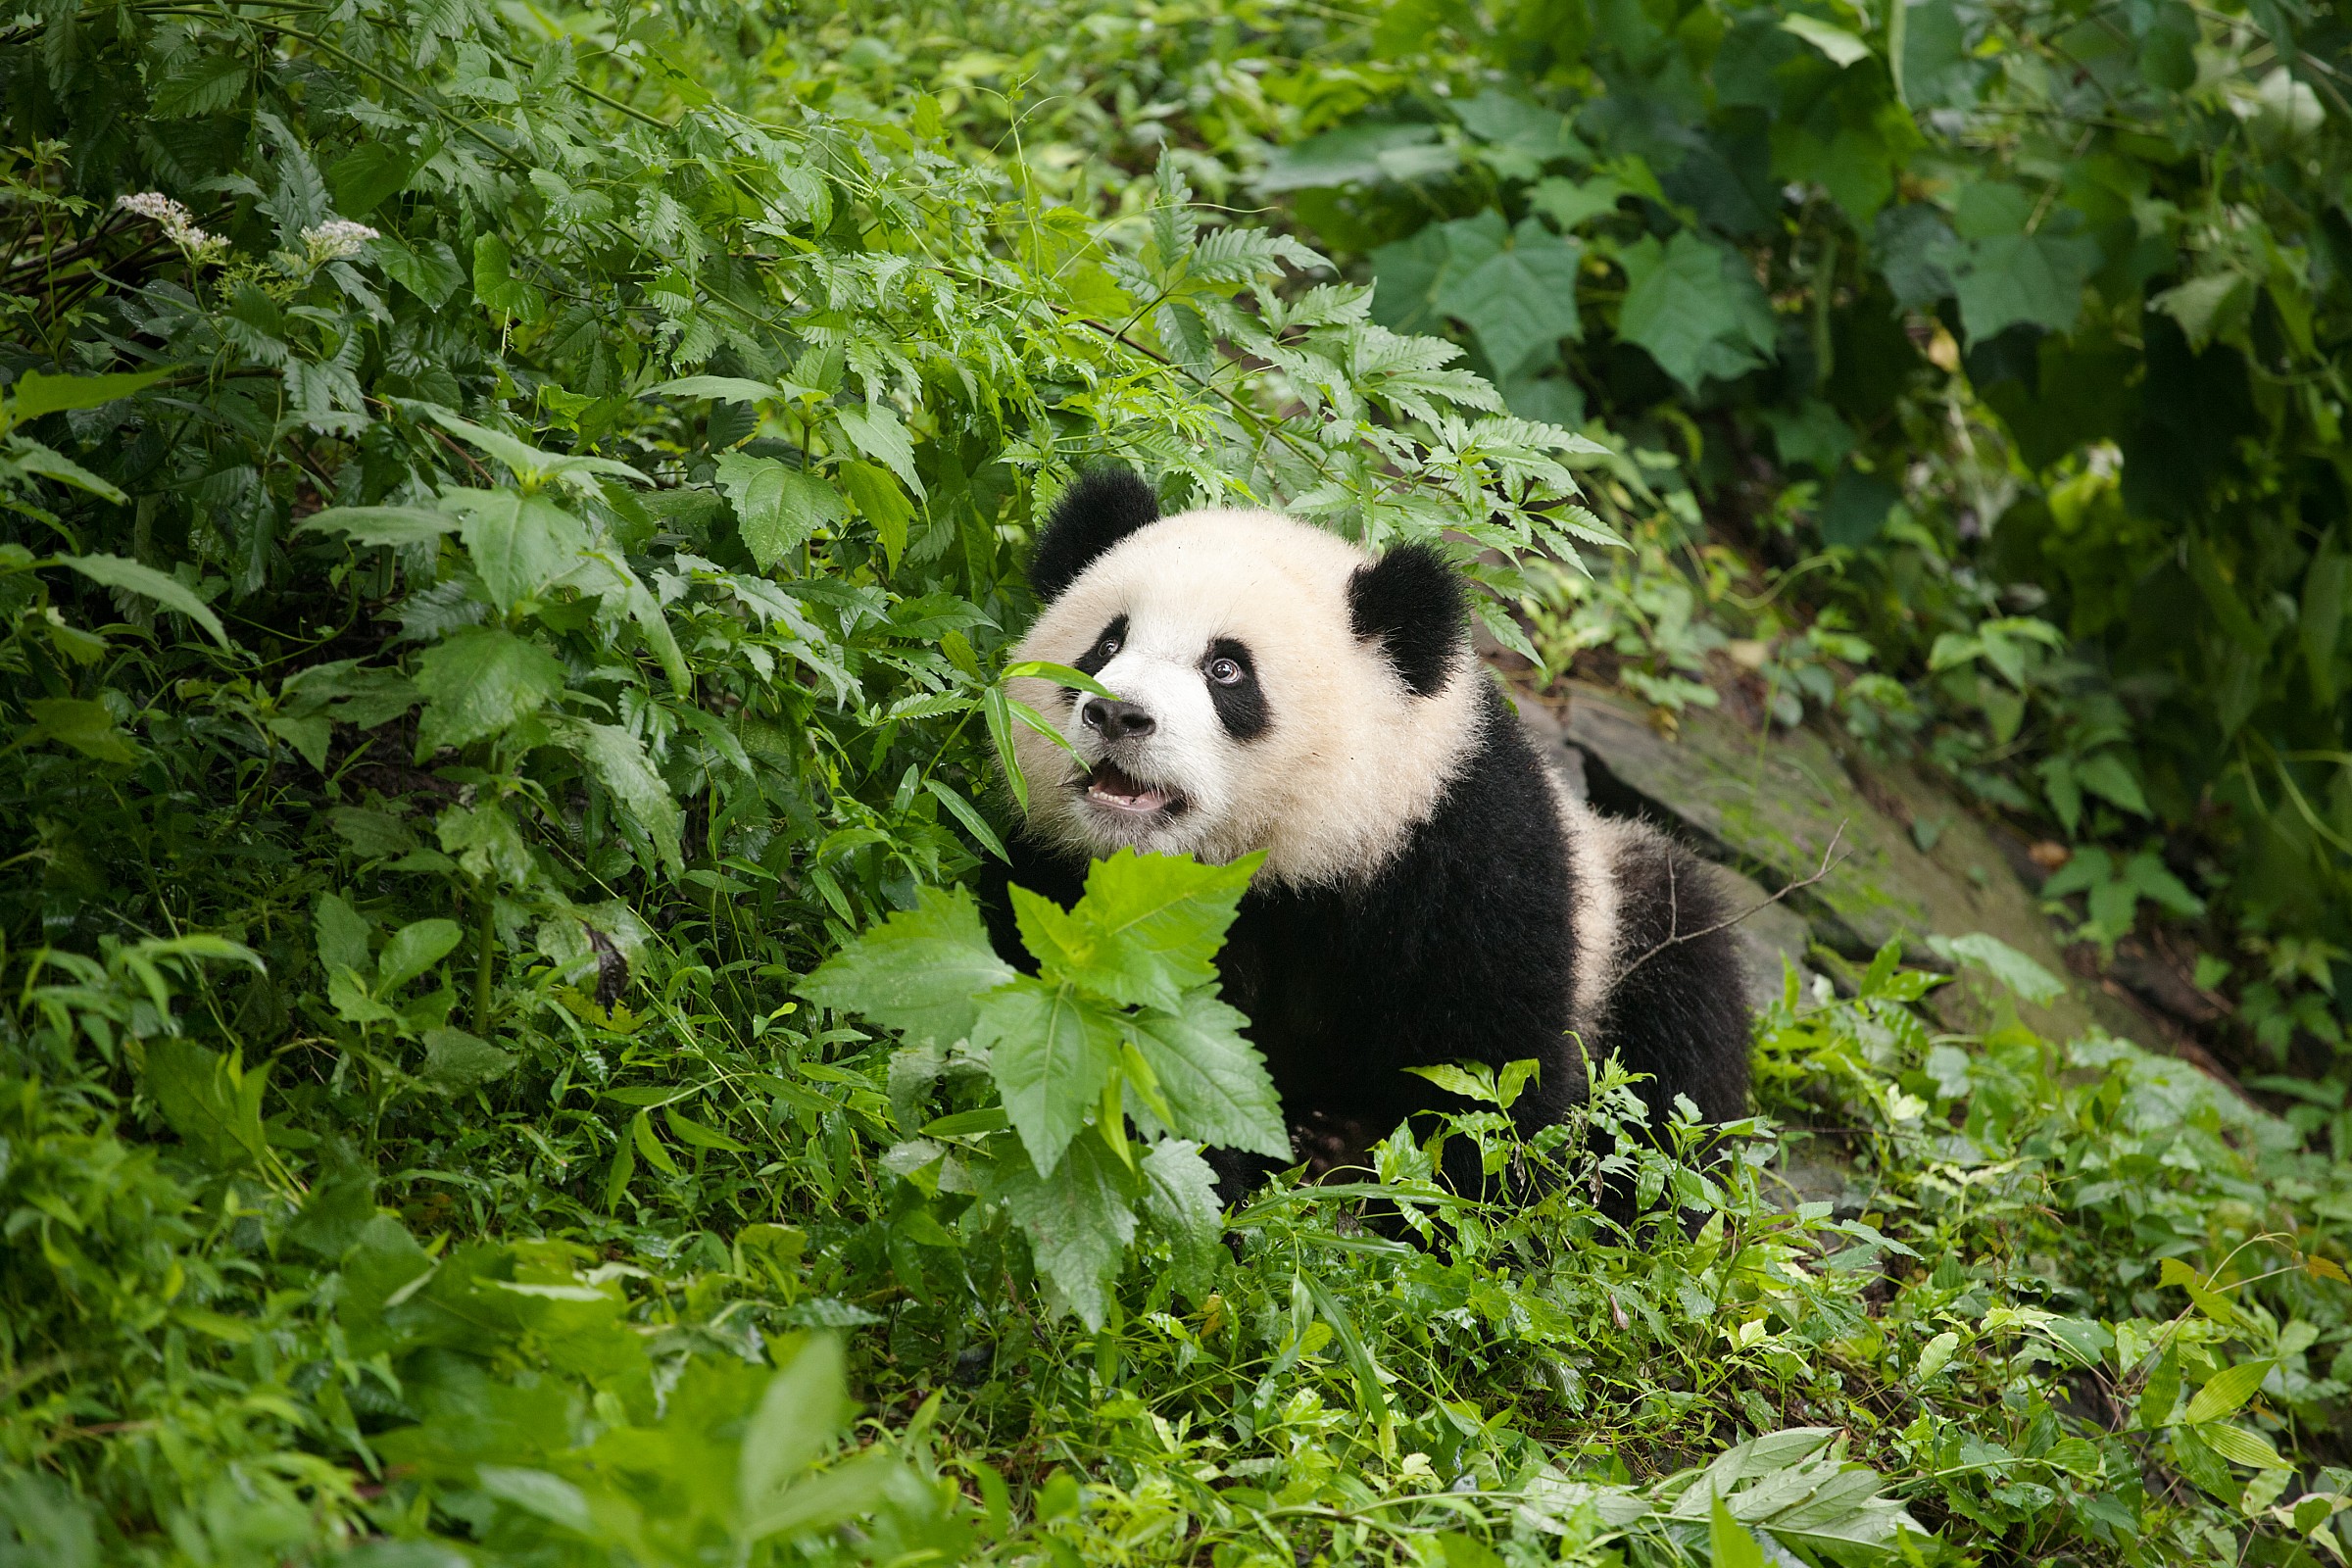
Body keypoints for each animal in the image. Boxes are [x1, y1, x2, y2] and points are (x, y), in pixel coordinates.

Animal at [982, 469, 1751, 1202]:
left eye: (1226, 668)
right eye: (1107, 644)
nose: (1118, 714)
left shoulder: (1461, 855)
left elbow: (1493, 1075)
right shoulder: (1062, 878)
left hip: (1625, 912)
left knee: (1682, 1034)